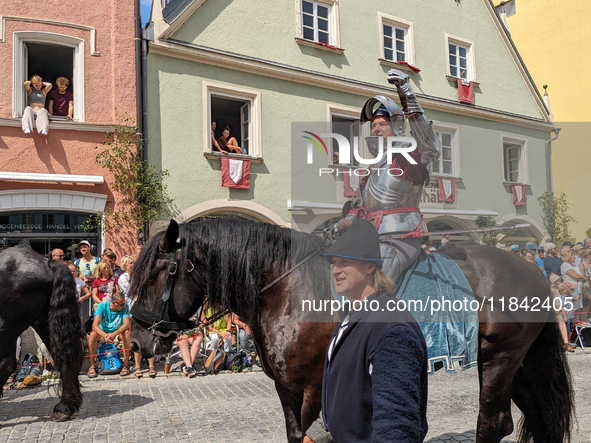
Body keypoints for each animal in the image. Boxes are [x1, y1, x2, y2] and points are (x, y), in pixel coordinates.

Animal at [130, 220, 572, 442]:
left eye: (158, 273)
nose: (137, 340)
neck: (286, 287)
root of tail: (531, 268)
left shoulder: (314, 386)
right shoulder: (285, 388)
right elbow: (296, 435)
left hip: (500, 358)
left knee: (492, 424)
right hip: (517, 362)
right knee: (534, 419)